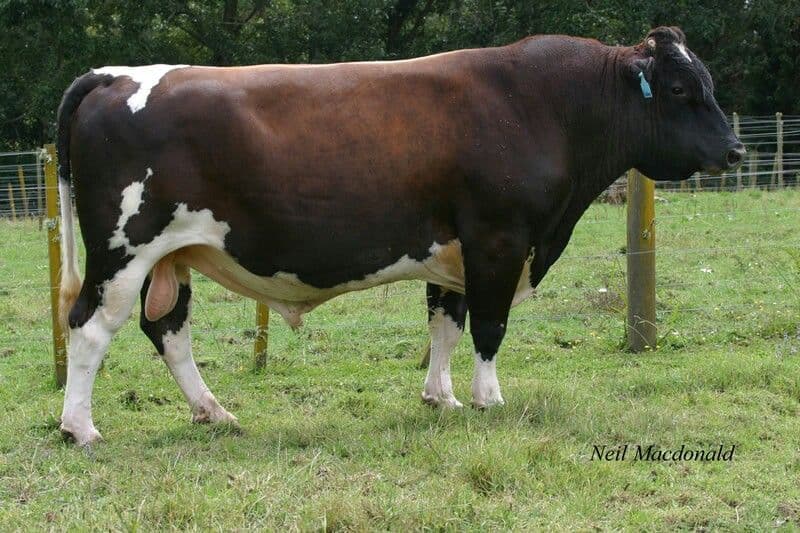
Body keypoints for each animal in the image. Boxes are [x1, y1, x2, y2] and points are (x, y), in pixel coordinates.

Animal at [55, 26, 743, 446]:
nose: (735, 150)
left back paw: (213, 411)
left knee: (168, 330)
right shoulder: (498, 239)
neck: (547, 105)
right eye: (680, 88)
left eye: (708, 84)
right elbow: (489, 326)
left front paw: (442, 399)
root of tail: (113, 74)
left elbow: (446, 324)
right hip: (123, 249)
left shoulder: (453, 250)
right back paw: (79, 428)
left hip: (172, 256)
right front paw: (490, 399)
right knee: (90, 325)